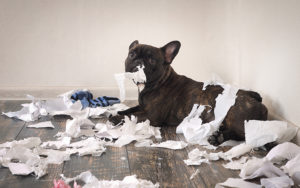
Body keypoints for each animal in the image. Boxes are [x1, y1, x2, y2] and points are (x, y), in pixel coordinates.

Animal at [109, 40, 268, 146]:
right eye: (131, 54)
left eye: (151, 59)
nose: (138, 61)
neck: (158, 81)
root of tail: (253, 96)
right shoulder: (143, 106)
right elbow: (130, 110)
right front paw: (119, 112)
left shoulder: (151, 115)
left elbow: (133, 116)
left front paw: (116, 118)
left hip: (236, 116)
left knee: (244, 135)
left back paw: (220, 138)